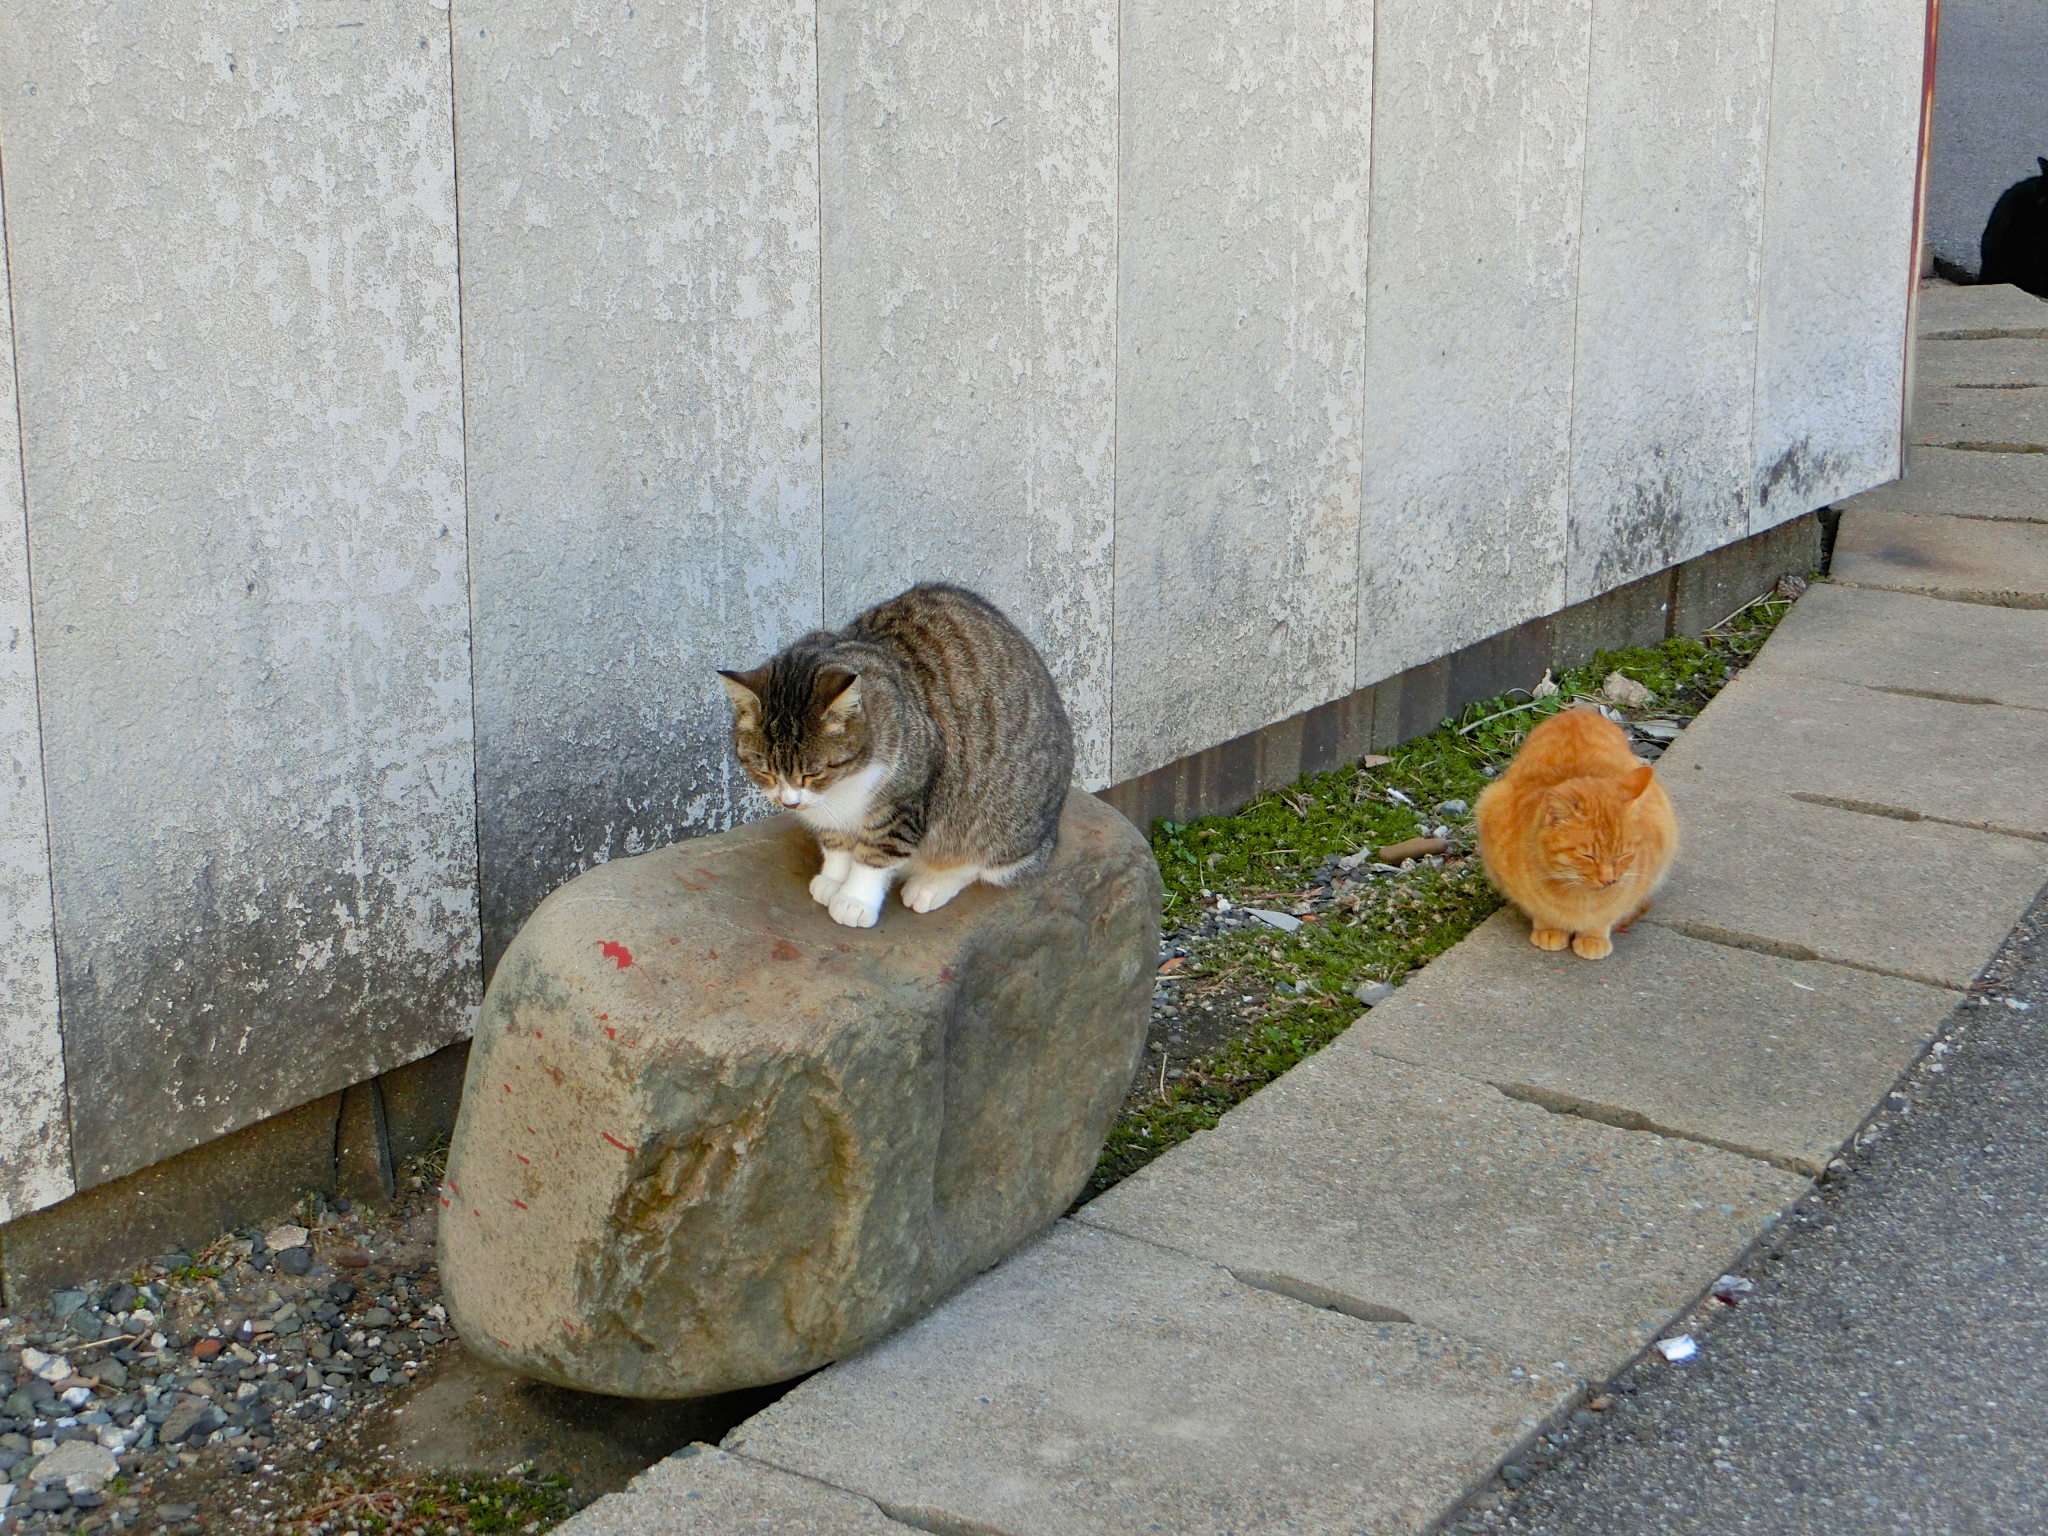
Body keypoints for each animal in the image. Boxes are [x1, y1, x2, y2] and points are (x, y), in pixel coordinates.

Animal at [716, 585, 1081, 925]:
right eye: (763, 771)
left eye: (814, 773)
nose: (788, 803)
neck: (842, 788)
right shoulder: (828, 815)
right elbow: (836, 843)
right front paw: (833, 879)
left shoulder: (903, 801)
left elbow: (876, 855)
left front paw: (854, 900)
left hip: (998, 816)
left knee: (980, 860)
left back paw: (931, 884)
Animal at [1474, 704, 1679, 958]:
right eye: (1588, 856)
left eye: (1622, 854)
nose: (1609, 880)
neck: (1578, 898)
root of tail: (1577, 710)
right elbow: (1540, 912)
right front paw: (1549, 929)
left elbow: (1605, 918)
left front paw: (1593, 937)